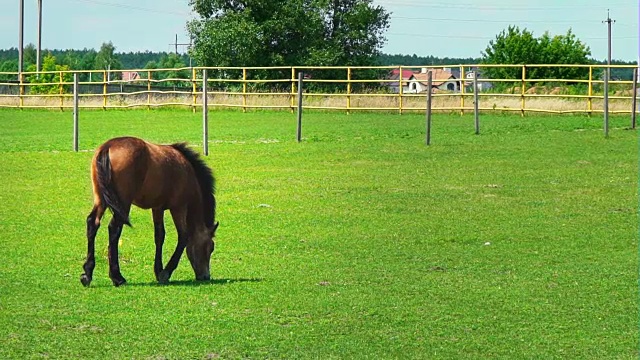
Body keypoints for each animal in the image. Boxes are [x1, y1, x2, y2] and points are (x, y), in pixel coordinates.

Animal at [80, 136, 219, 288]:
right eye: (210, 247)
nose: (206, 276)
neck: (187, 171)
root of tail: (108, 146)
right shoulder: (179, 207)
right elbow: (183, 236)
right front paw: (166, 272)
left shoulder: (157, 208)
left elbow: (159, 236)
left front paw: (158, 270)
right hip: (123, 203)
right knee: (114, 229)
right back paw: (117, 277)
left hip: (101, 199)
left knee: (93, 223)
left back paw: (87, 274)